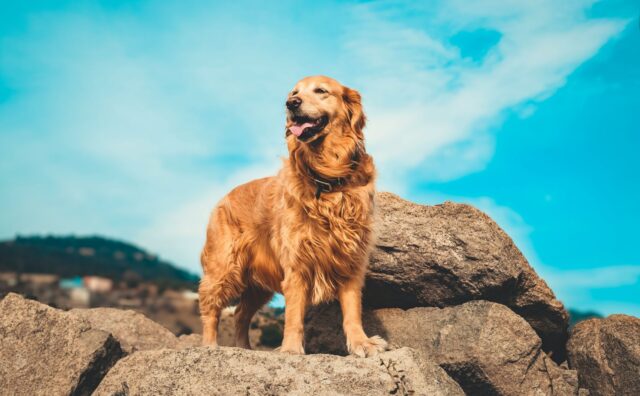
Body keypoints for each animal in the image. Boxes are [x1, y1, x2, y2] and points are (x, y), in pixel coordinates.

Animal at [198, 76, 388, 358]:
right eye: (294, 92)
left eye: (321, 90)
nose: (291, 103)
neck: (327, 178)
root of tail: (223, 198)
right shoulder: (297, 262)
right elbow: (294, 315)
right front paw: (289, 349)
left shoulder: (350, 259)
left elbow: (352, 311)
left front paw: (361, 343)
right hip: (224, 266)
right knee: (211, 307)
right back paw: (210, 345)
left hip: (258, 285)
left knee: (241, 313)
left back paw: (245, 348)